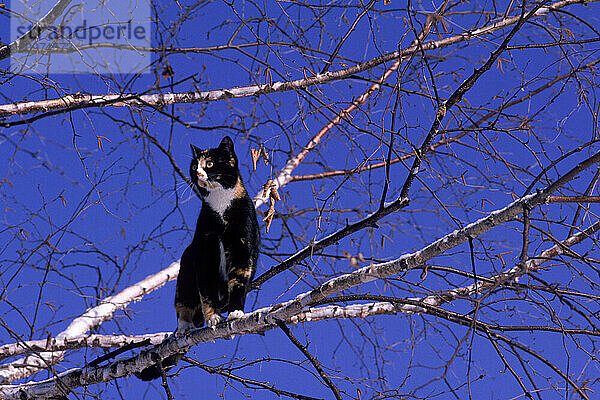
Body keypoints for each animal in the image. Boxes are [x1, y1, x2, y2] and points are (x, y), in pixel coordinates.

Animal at [136, 138, 260, 382]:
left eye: (210, 163)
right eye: (194, 166)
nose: (199, 173)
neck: (221, 207)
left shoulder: (242, 246)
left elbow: (239, 281)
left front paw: (235, 312)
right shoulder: (204, 252)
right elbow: (206, 291)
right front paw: (213, 318)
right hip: (185, 273)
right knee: (183, 303)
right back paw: (184, 328)